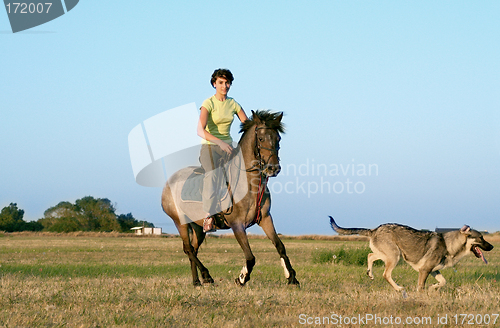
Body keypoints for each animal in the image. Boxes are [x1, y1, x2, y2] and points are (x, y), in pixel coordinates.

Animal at [162, 110, 298, 288]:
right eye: (261, 138)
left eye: (278, 138)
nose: (273, 168)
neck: (249, 185)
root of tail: (168, 183)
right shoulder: (237, 225)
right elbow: (250, 257)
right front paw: (241, 278)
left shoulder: (265, 219)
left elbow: (280, 247)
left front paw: (292, 277)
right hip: (180, 222)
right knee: (189, 249)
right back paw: (207, 276)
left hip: (198, 228)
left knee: (193, 249)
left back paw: (197, 281)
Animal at [328, 217, 492, 290]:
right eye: (481, 238)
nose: (492, 247)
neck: (449, 245)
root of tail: (374, 229)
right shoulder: (424, 271)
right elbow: (421, 287)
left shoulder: (434, 270)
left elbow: (443, 281)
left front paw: (433, 287)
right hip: (394, 257)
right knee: (386, 274)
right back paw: (398, 289)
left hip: (389, 255)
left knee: (370, 256)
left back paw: (370, 273)